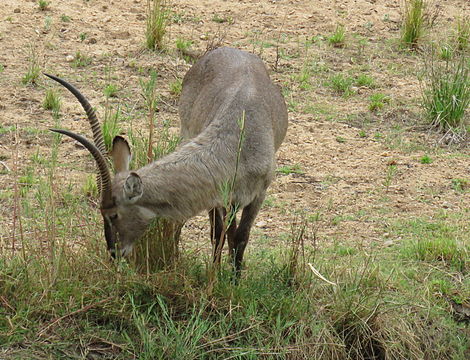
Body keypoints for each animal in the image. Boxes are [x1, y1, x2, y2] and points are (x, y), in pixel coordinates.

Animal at [48, 47, 290, 272]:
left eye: (113, 214)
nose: (114, 253)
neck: (239, 135)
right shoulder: (218, 198)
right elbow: (219, 233)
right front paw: (216, 274)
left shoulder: (258, 195)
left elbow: (240, 237)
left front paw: (234, 280)